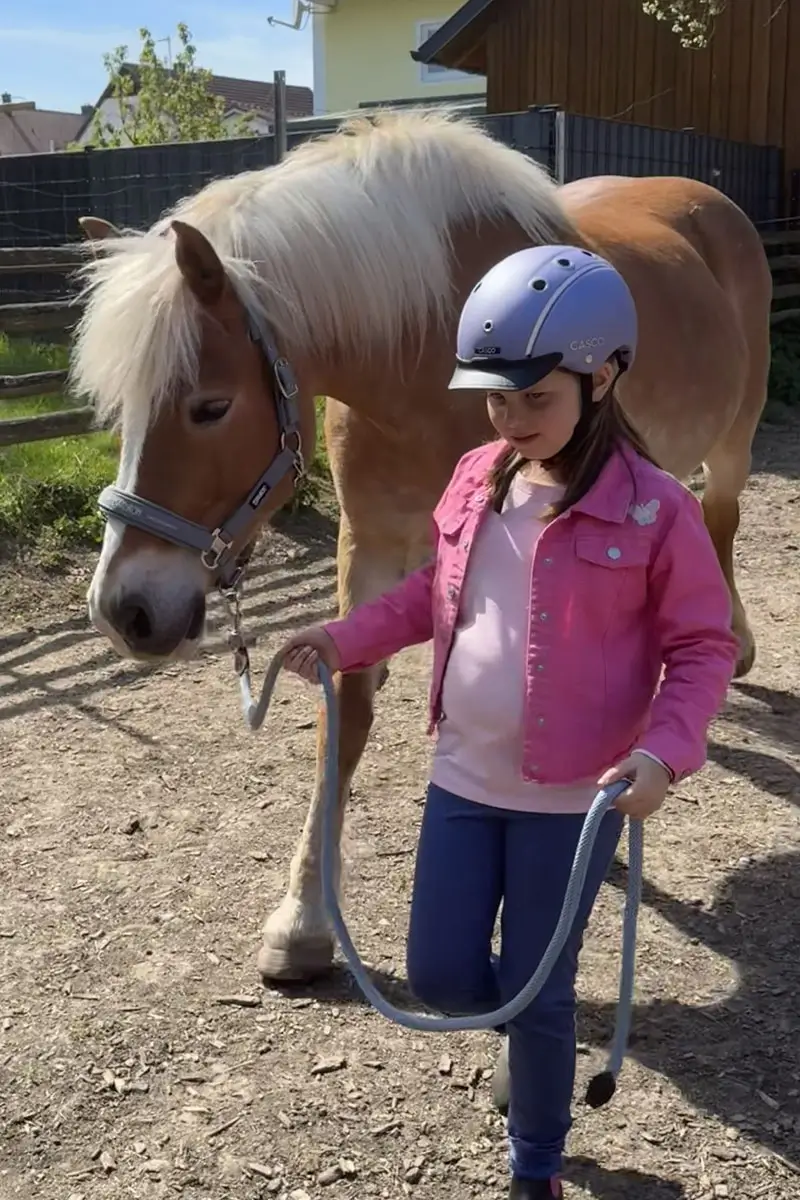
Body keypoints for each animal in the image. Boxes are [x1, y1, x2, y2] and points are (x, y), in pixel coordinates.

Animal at [71, 106, 772, 985]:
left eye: (209, 406)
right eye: (121, 410)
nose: (123, 611)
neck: (430, 348)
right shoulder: (371, 542)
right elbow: (349, 704)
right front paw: (304, 920)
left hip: (735, 442)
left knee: (719, 524)